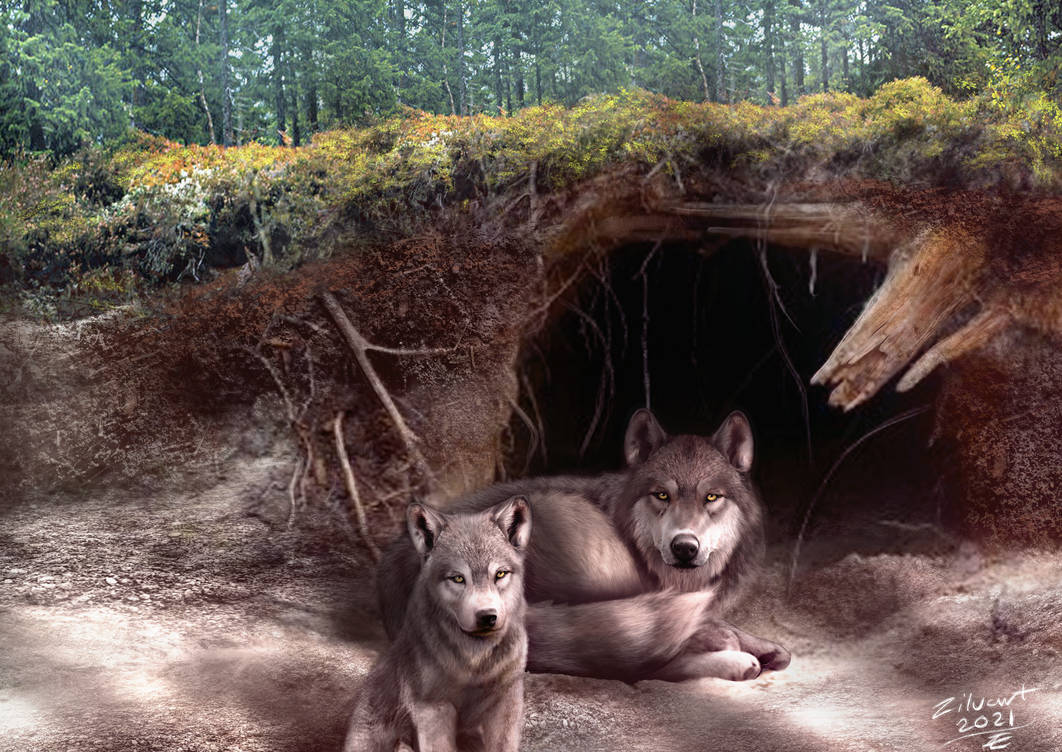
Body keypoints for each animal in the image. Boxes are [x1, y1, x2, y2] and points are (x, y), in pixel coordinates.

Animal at [344, 497, 532, 752]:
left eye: (500, 574)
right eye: (458, 578)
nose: (487, 616)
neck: (475, 663)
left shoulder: (506, 702)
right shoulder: (433, 707)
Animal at [378, 408, 790, 683]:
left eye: (711, 497)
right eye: (662, 495)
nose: (685, 546)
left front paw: (764, 646)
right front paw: (733, 647)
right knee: (635, 662)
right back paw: (733, 661)